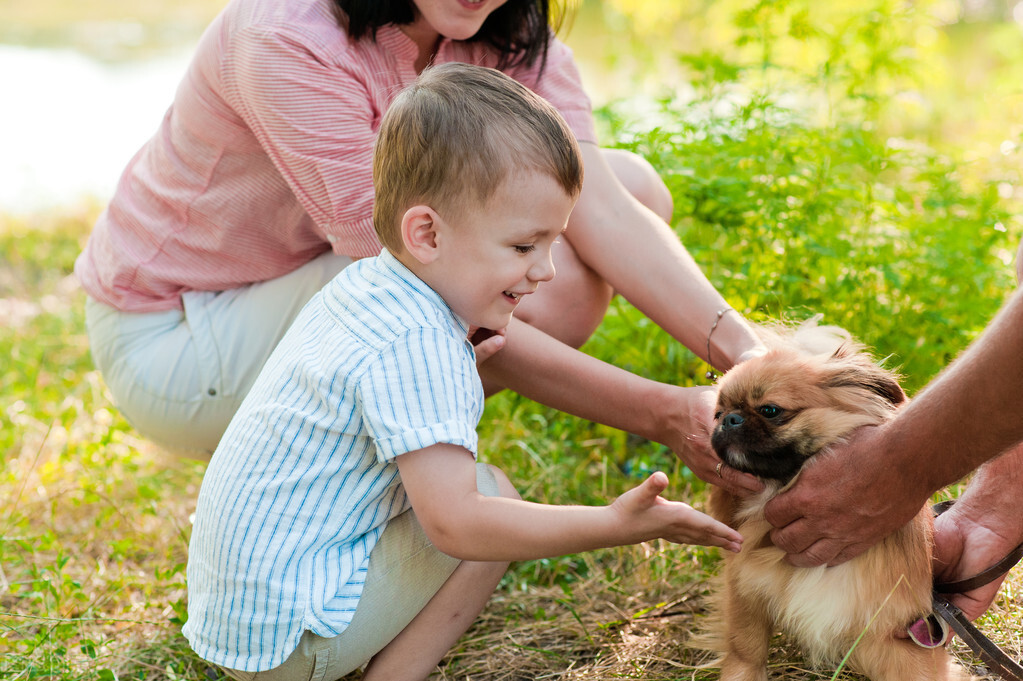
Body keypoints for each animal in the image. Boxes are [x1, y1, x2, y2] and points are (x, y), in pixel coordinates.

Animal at [695, 321, 965, 678]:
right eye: (717, 414)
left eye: (770, 410)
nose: (729, 419)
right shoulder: (745, 588)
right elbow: (746, 649)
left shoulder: (890, 631)